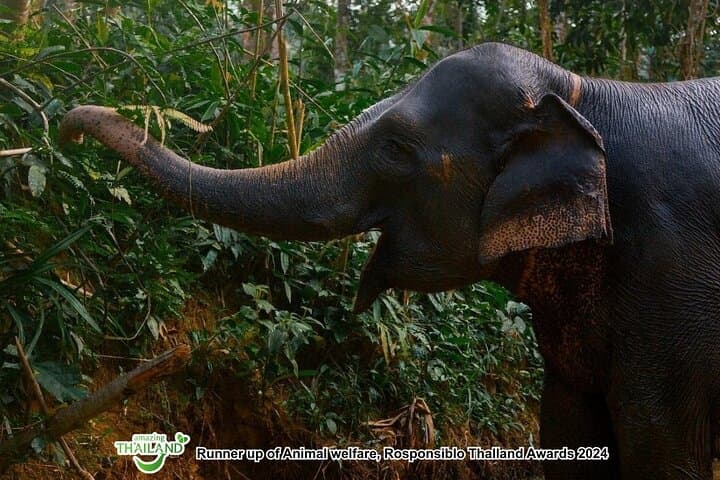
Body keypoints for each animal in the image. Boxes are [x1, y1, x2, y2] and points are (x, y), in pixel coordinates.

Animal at [59, 42, 720, 479]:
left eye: (397, 148)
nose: (69, 122)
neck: (586, 91)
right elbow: (569, 433)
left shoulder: (673, 273)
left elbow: (657, 446)